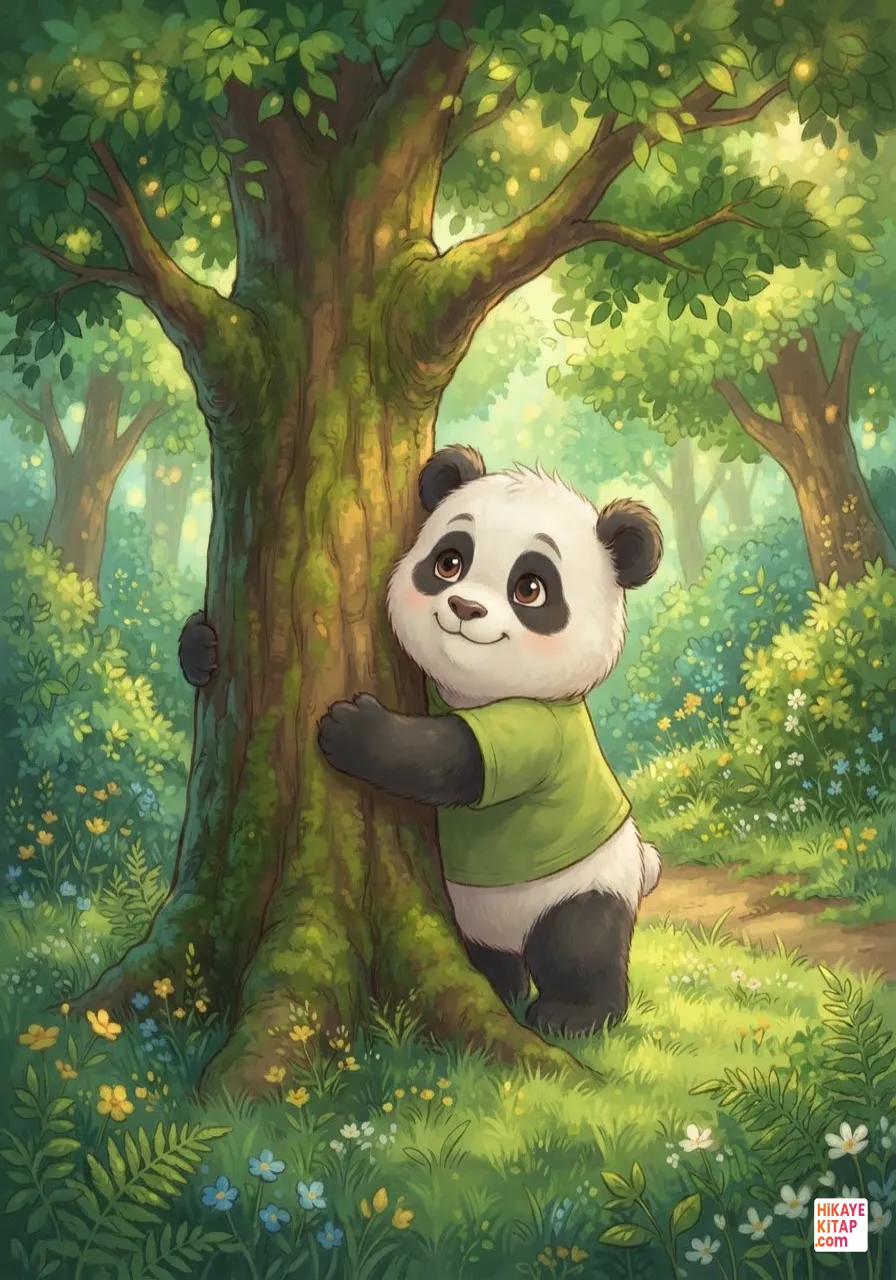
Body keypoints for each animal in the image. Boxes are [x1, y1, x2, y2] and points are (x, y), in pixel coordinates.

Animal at [178, 445, 664, 1039]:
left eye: (530, 588)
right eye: (449, 562)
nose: (465, 609)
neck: (470, 690)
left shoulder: (537, 731)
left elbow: (453, 760)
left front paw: (353, 729)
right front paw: (200, 647)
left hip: (584, 882)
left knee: (580, 943)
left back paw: (572, 1015)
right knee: (495, 957)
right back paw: (503, 990)